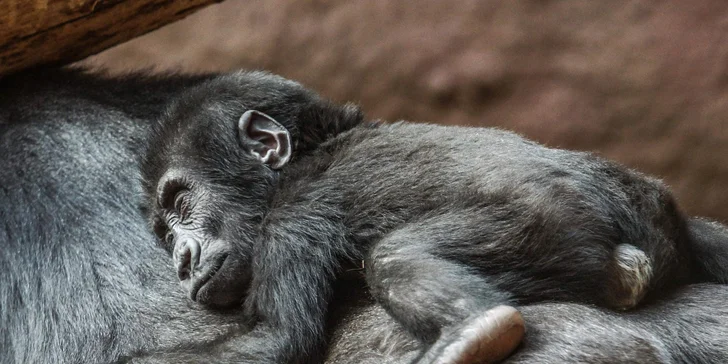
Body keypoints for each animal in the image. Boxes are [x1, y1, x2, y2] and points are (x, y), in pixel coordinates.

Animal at [0, 69, 724, 364]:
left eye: (181, 205)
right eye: (162, 230)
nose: (179, 259)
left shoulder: (290, 223)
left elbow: (280, 340)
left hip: (552, 225)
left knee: (399, 259)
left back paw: (474, 334)